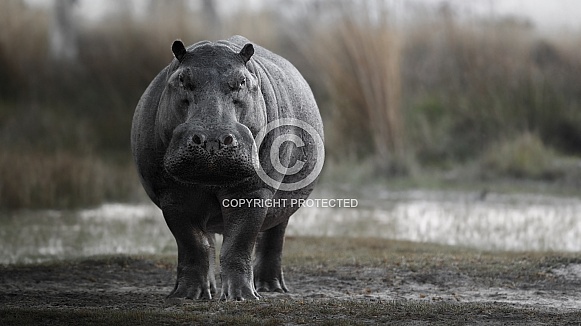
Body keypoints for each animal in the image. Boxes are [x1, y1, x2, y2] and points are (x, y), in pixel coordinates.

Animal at [129, 35, 324, 300]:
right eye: (182, 79)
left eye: (242, 81)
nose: (212, 139)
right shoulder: (172, 195)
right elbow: (193, 244)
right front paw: (186, 295)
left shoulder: (253, 192)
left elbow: (238, 244)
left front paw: (243, 297)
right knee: (209, 241)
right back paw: (209, 291)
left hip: (285, 204)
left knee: (274, 237)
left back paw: (270, 287)